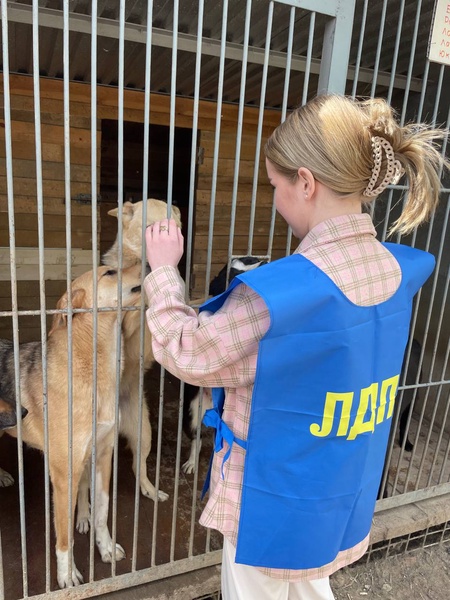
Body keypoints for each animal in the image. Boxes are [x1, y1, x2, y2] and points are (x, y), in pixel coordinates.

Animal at [2, 264, 142, 584]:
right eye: (109, 272)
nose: (150, 262)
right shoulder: (63, 472)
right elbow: (64, 536)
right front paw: (67, 576)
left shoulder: (103, 455)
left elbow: (102, 511)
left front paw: (105, 548)